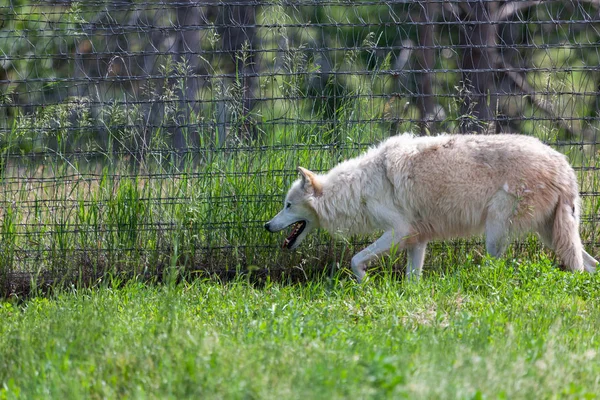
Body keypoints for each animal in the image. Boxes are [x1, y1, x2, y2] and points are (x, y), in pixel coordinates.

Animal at [266, 134, 600, 282]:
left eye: (288, 205)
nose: (267, 225)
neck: (358, 189)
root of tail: (565, 167)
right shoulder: (417, 238)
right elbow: (412, 278)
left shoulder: (400, 231)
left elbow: (355, 258)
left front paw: (363, 283)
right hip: (553, 236)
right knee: (589, 264)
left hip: (496, 233)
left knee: (494, 268)